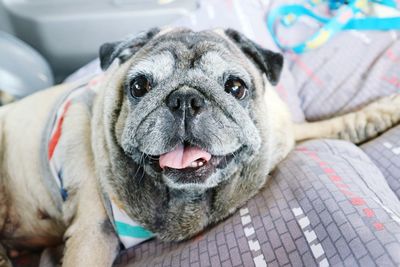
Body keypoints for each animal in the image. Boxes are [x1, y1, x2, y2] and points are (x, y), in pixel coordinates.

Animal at [0, 28, 400, 266]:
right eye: (140, 86)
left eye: (236, 87)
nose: (184, 99)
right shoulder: (92, 235)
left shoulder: (282, 133)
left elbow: (329, 126)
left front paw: (380, 112)